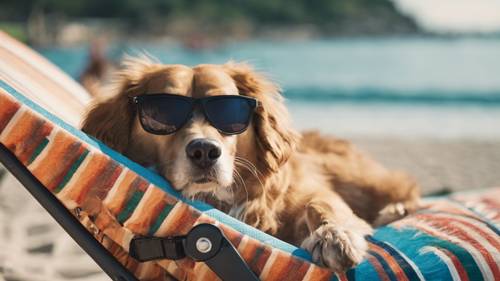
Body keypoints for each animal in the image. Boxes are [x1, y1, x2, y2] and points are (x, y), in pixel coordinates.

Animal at [81, 56, 418, 272]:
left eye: (229, 110)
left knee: (405, 190)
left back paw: (396, 210)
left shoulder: (313, 189)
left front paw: (334, 235)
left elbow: (320, 204)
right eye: (161, 112)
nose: (205, 151)